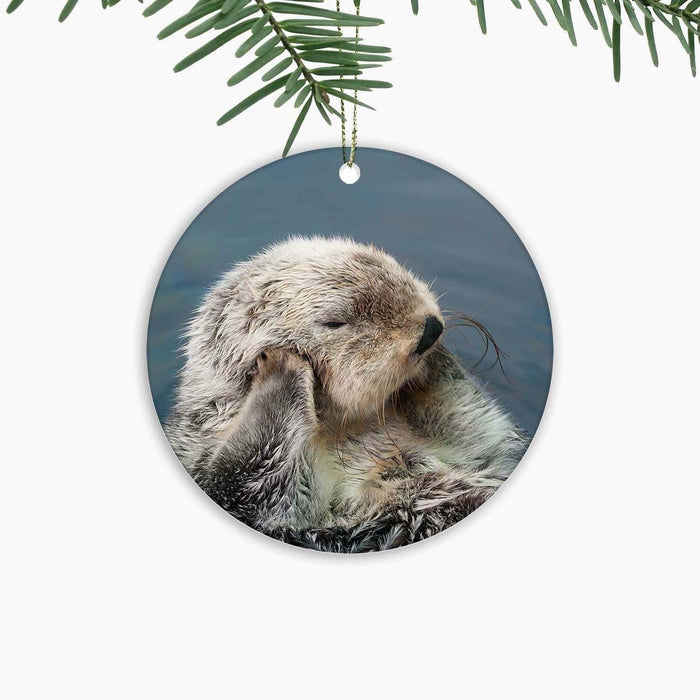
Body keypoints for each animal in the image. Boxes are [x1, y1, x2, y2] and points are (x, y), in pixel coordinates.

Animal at [166, 236, 525, 552]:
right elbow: (254, 484)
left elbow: (476, 429)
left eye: (395, 269)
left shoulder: (476, 449)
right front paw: (283, 365)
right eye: (334, 323)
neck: (350, 431)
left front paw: (432, 367)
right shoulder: (239, 491)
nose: (430, 330)